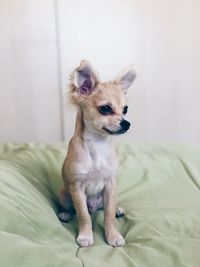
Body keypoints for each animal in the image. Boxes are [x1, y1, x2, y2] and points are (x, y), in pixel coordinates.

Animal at [57, 59, 136, 248]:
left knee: (106, 208)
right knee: (74, 209)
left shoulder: (111, 185)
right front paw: (86, 236)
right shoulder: (77, 188)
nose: (127, 123)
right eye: (106, 109)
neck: (98, 144)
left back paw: (118, 209)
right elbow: (83, 215)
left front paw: (113, 236)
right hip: (64, 193)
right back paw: (65, 214)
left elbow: (108, 216)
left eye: (125, 110)